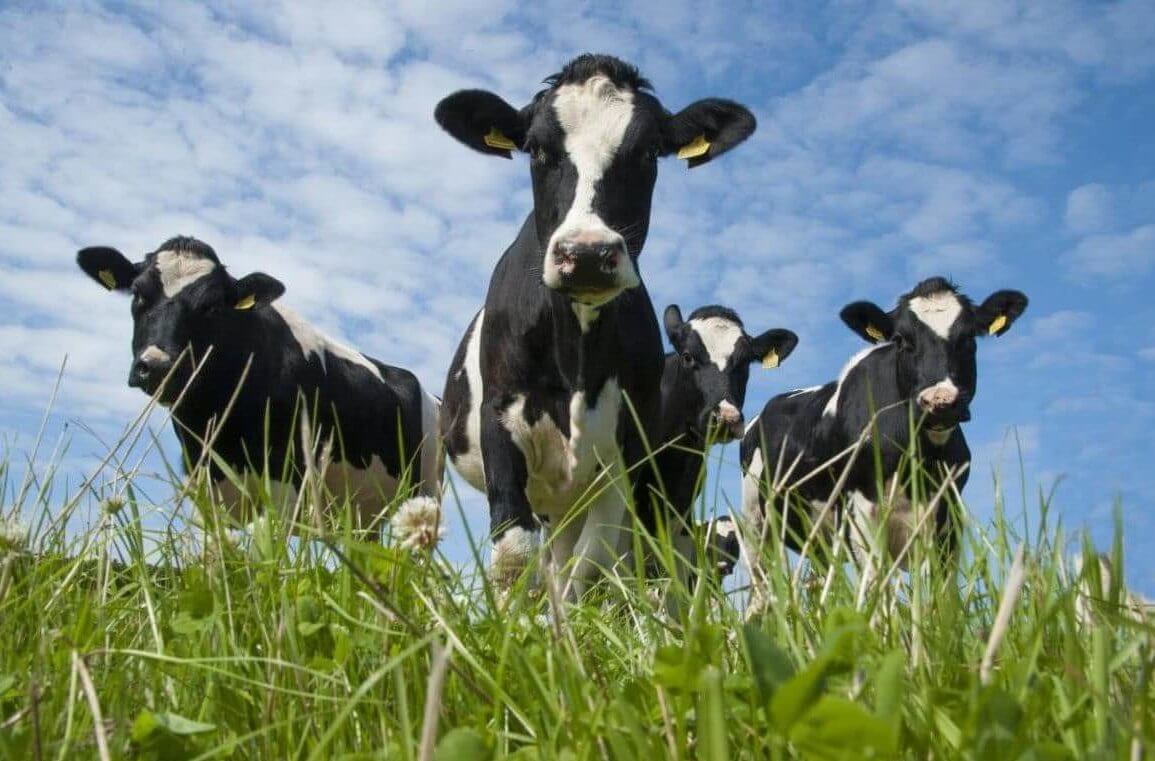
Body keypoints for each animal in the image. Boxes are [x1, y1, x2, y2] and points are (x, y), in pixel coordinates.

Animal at [76, 236, 442, 533]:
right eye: (138, 294)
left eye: (212, 306)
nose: (157, 366)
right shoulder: (205, 492)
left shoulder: (282, 486)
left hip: (425, 494)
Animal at [435, 53, 757, 595]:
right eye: (536, 149)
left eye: (649, 152)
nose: (586, 254)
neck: (576, 360)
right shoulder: (500, 422)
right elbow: (514, 556)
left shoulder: (625, 459)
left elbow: (590, 566)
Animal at [740, 277, 1028, 592]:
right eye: (902, 339)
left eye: (968, 339)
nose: (940, 402)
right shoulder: (861, 514)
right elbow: (876, 588)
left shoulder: (948, 518)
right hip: (756, 523)